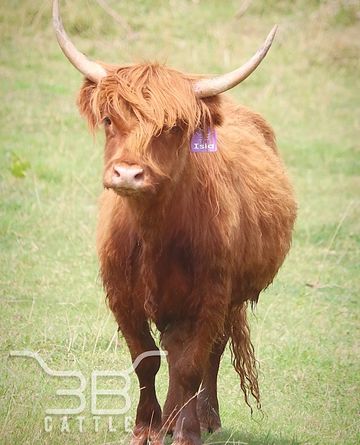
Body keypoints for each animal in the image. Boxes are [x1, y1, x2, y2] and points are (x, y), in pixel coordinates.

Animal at [52, 1, 296, 442]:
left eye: (175, 128)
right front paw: (146, 428)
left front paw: (183, 431)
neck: (154, 234)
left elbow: (190, 366)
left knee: (210, 356)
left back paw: (205, 418)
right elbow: (146, 359)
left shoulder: (210, 298)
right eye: (110, 120)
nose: (128, 174)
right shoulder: (121, 296)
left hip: (229, 299)